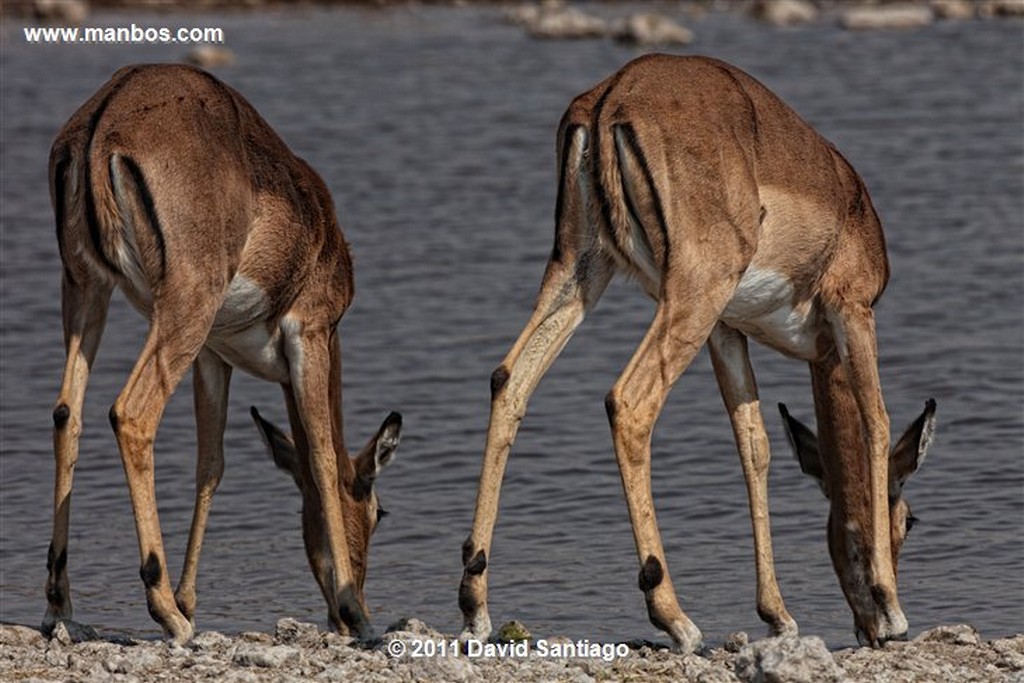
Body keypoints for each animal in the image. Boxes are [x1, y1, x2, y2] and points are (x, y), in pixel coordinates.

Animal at [47, 61, 399, 643]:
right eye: (378, 510)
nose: (340, 618)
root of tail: (105, 122)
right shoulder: (311, 336)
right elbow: (323, 456)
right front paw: (359, 613)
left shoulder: (213, 356)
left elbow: (210, 463)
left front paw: (190, 600)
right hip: (184, 307)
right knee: (130, 414)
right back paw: (164, 611)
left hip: (86, 290)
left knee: (65, 415)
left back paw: (61, 605)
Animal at [462, 54, 937, 651]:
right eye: (910, 519)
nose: (869, 631)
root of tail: (614, 95)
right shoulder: (852, 310)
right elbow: (877, 422)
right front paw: (891, 606)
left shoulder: (728, 330)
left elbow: (754, 446)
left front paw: (778, 615)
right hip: (692, 292)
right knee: (628, 401)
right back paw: (676, 619)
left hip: (581, 271)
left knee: (510, 379)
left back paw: (475, 606)